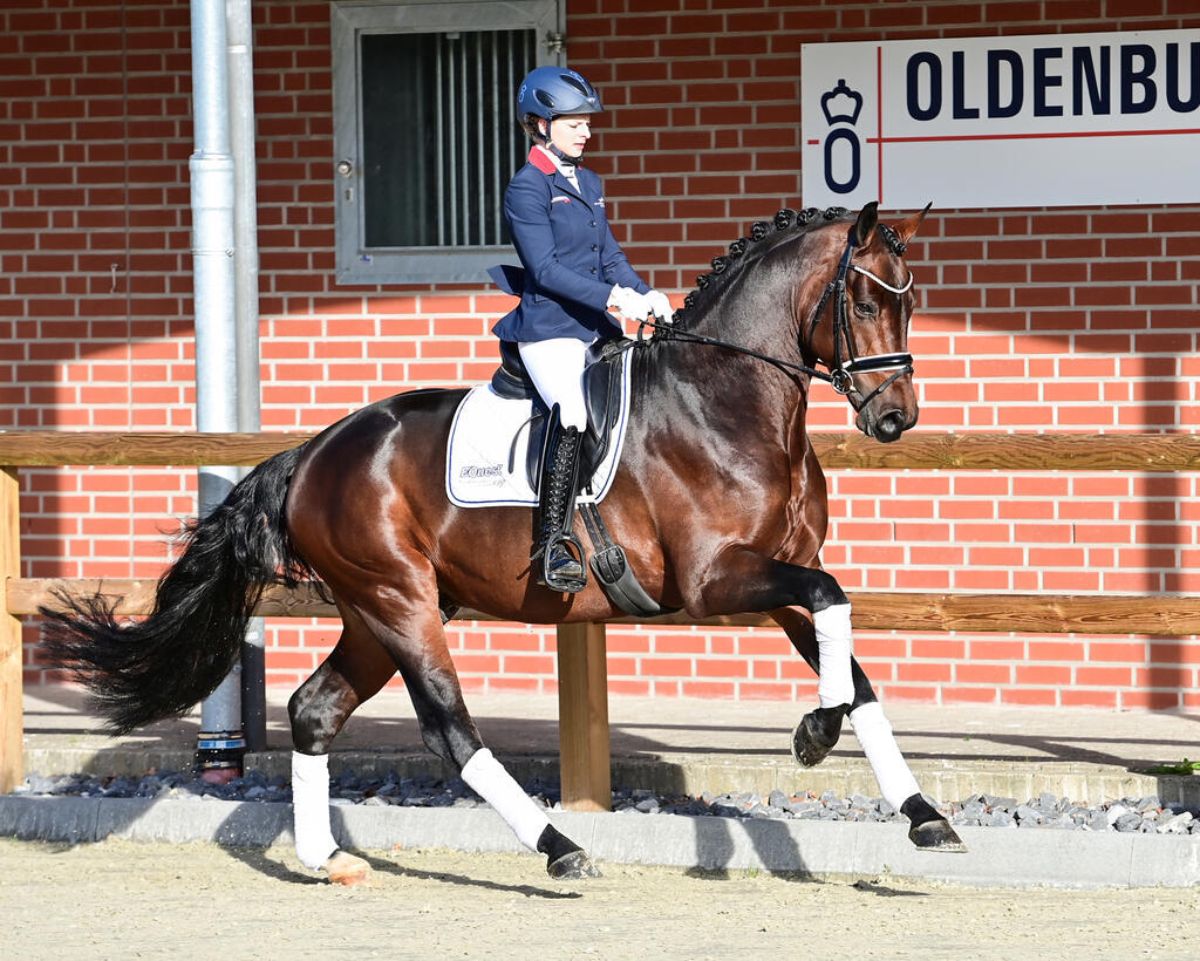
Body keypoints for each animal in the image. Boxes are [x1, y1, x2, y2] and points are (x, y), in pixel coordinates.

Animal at [46, 202, 964, 883]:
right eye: (865, 301)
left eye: (912, 299)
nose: (895, 418)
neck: (728, 398)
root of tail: (311, 451)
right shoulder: (718, 579)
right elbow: (836, 608)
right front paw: (815, 731)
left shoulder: (784, 574)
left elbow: (854, 662)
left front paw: (921, 813)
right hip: (402, 603)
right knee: (451, 729)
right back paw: (560, 847)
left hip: (375, 612)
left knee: (314, 709)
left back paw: (328, 856)